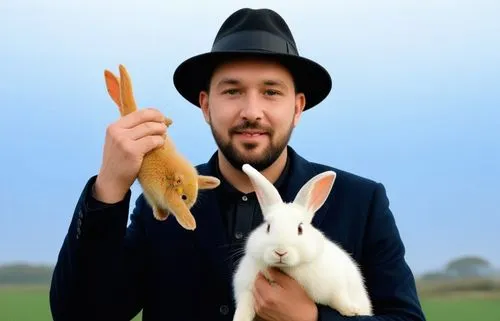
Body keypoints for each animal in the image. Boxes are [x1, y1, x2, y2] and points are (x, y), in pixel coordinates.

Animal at [104, 64, 221, 230]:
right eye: (183, 197)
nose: (189, 208)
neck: (171, 178)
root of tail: (129, 113)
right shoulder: (165, 195)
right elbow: (173, 204)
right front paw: (186, 221)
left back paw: (167, 121)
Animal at [232, 164, 374, 318]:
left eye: (300, 229)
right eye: (268, 227)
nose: (280, 252)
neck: (288, 268)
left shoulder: (335, 285)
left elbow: (339, 298)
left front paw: (352, 310)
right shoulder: (246, 289)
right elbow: (244, 307)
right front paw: (239, 318)